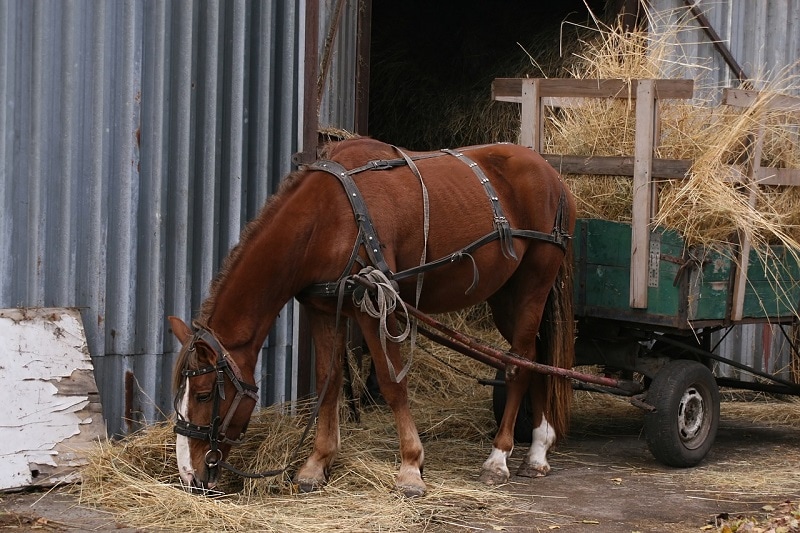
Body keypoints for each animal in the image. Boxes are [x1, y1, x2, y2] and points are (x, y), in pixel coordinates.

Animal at [167, 136, 576, 494]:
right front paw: (316, 464)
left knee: (519, 364)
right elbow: (328, 381)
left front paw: (411, 467)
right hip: (506, 297)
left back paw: (500, 457)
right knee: (535, 357)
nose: (189, 477)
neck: (329, 215)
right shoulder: (322, 308)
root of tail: (552, 174)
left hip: (533, 285)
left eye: (204, 394)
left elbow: (393, 383)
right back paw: (538, 450)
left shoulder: (376, 306)